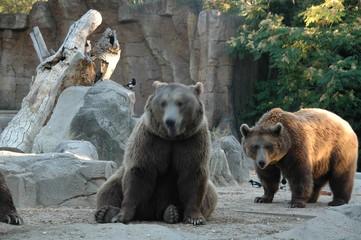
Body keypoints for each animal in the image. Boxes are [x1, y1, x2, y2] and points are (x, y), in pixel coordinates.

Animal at [94, 81, 217, 225]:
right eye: (163, 103)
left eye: (180, 103)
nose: (170, 121)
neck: (172, 138)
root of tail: (153, 214)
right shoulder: (150, 140)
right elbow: (139, 173)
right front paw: (121, 216)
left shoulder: (192, 142)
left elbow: (193, 175)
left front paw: (194, 218)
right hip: (121, 177)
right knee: (108, 188)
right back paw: (105, 212)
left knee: (210, 195)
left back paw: (172, 212)